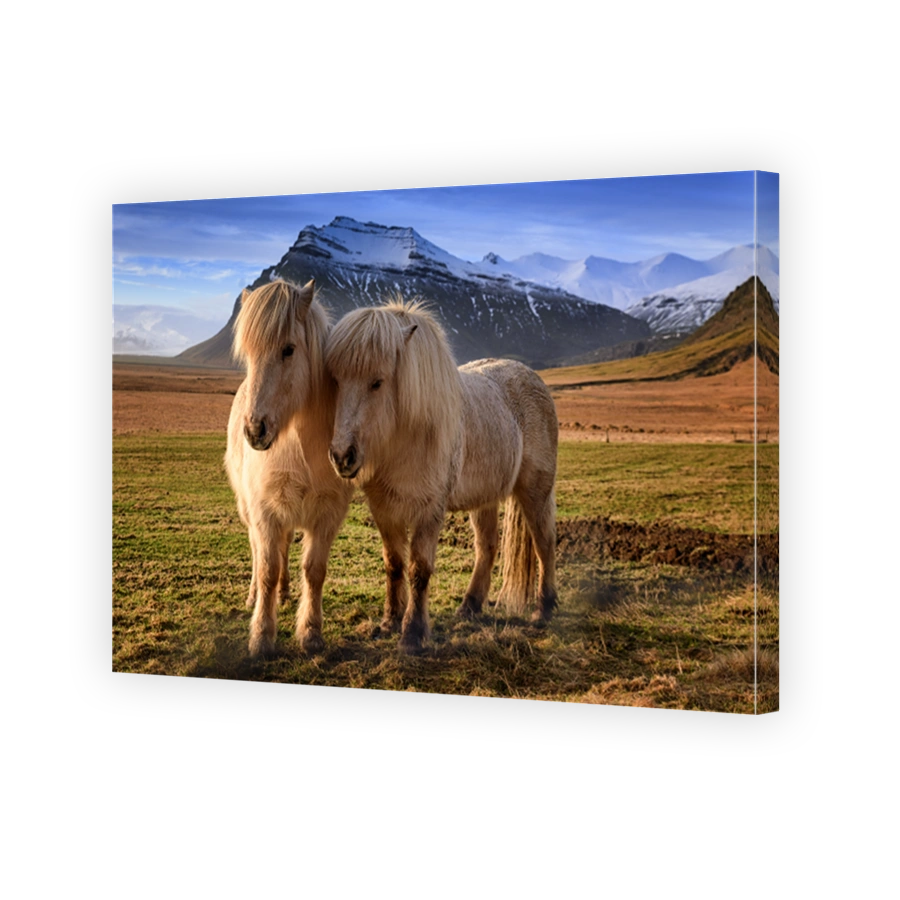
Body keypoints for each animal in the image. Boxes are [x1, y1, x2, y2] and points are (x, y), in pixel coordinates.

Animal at [225, 279, 353, 658]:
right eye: (248, 354)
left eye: (288, 350)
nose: (255, 430)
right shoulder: (265, 510)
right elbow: (267, 567)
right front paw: (261, 637)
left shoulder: (327, 514)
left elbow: (314, 570)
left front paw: (310, 633)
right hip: (250, 511)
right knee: (259, 552)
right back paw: (255, 596)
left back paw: (282, 595)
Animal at [325, 299, 558, 654]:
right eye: (336, 380)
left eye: (377, 382)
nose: (342, 456)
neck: (407, 434)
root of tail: (534, 380)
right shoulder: (383, 509)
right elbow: (394, 564)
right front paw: (389, 622)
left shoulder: (430, 510)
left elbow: (419, 569)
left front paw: (412, 633)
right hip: (485, 499)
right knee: (487, 547)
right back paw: (470, 606)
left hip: (535, 490)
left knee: (544, 541)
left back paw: (544, 609)